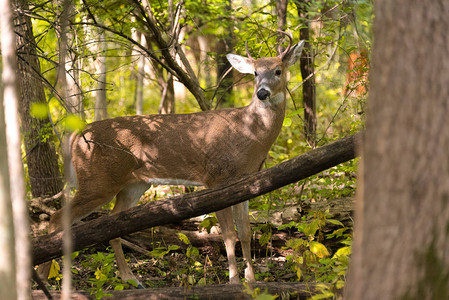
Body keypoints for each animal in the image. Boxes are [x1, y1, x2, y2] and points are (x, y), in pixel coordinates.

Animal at [39, 34, 304, 288]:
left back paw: (131, 279)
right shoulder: (217, 178)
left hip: (133, 184)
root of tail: (76, 136)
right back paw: (44, 276)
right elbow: (229, 235)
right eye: (256, 73)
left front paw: (251, 280)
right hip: (97, 180)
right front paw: (234, 280)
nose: (262, 93)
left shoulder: (246, 182)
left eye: (278, 70)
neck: (248, 133)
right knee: (57, 218)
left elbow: (247, 232)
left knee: (111, 225)